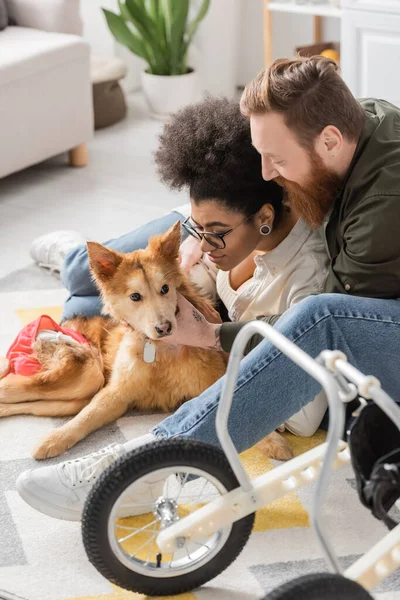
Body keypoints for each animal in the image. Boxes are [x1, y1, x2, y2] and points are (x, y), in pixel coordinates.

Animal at [0, 223, 290, 462]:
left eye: (165, 289)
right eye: (135, 296)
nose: (164, 327)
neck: (161, 350)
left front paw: (273, 441)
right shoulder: (115, 394)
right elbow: (86, 418)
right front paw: (55, 439)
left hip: (75, 391)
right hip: (86, 374)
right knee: (13, 386)